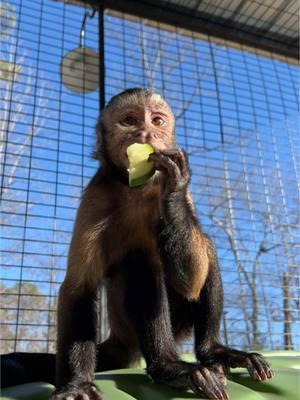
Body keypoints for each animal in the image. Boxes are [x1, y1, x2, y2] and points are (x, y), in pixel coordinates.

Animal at [50, 88, 274, 400]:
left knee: (202, 248)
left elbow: (191, 281)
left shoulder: (174, 191)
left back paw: (211, 352)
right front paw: (77, 385)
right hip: (129, 329)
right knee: (140, 263)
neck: (135, 188)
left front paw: (175, 185)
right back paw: (166, 366)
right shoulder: (95, 196)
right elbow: (79, 287)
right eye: (129, 121)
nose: (146, 134)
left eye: (157, 121)